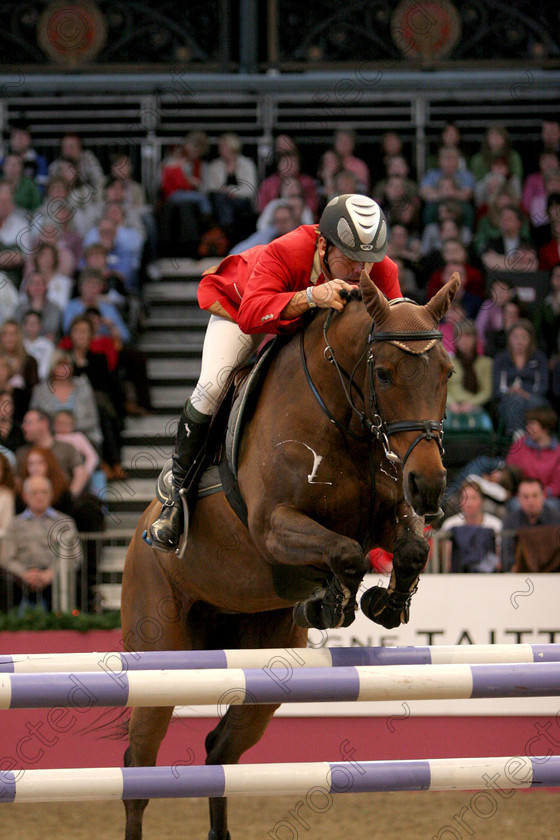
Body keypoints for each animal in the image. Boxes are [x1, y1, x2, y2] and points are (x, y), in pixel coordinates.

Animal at [120, 270, 458, 840]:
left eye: (447, 373)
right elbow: (346, 552)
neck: (344, 415)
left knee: (219, 751)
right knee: (137, 770)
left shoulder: (389, 513)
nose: (430, 486)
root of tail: (135, 537)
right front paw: (332, 602)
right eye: (384, 374)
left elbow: (410, 547)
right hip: (158, 657)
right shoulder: (273, 525)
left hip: (261, 667)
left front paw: (382, 606)